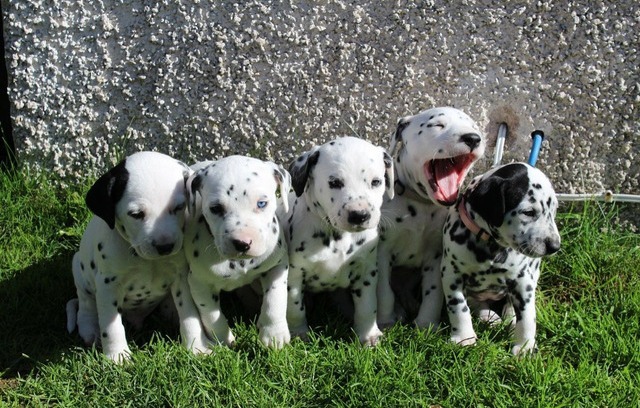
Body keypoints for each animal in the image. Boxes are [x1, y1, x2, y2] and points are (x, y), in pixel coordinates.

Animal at [66, 151, 209, 362]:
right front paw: (117, 356)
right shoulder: (108, 285)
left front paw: (196, 346)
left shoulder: (181, 278)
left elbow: (189, 314)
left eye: (179, 207)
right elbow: (111, 326)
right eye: (136, 214)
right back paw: (89, 329)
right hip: (79, 269)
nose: (165, 246)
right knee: (85, 304)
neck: (145, 260)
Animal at [184, 155, 292, 350]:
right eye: (216, 208)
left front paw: (274, 334)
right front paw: (223, 340)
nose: (242, 243)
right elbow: (211, 315)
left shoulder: (277, 266)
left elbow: (276, 298)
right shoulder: (198, 283)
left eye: (262, 203)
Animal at [284, 137, 396, 348]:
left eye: (376, 182)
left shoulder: (366, 272)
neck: (339, 237)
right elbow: (295, 308)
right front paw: (298, 333)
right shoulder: (294, 276)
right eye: (335, 182)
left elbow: (367, 307)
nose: (360, 215)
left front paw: (369, 335)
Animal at [440, 162, 560, 354]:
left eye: (554, 211)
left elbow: (527, 316)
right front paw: (464, 338)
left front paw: (525, 347)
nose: (555, 246)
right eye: (528, 212)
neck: (491, 245)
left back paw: (509, 321)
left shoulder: (523, 281)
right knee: (476, 302)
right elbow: (458, 307)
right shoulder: (451, 274)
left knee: (510, 305)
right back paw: (489, 317)